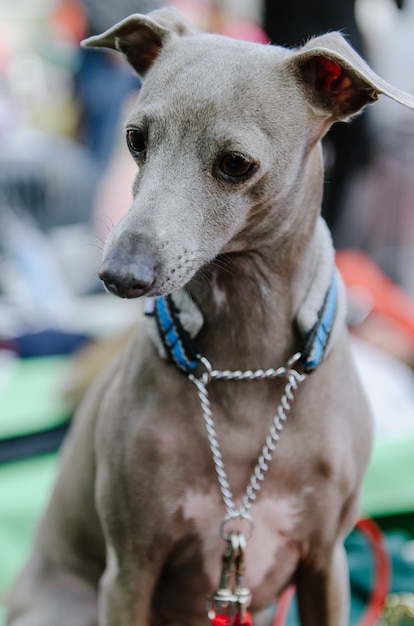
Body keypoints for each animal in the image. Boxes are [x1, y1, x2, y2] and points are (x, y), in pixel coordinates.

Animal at [5, 6, 414, 624]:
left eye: (236, 164)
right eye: (136, 139)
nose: (120, 274)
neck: (243, 365)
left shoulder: (327, 564)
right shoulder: (129, 571)